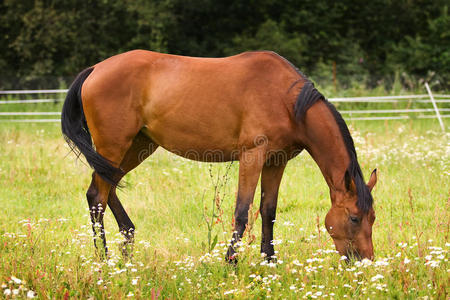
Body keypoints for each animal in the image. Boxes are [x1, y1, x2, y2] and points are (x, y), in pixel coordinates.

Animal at [59, 50, 376, 262]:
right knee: (97, 196)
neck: (288, 100)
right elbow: (242, 211)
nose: (365, 260)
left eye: (372, 217)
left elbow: (269, 211)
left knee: (107, 186)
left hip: (136, 147)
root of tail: (96, 68)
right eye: (354, 217)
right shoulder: (252, 156)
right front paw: (231, 261)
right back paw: (103, 259)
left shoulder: (276, 161)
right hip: (114, 146)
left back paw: (127, 243)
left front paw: (269, 261)